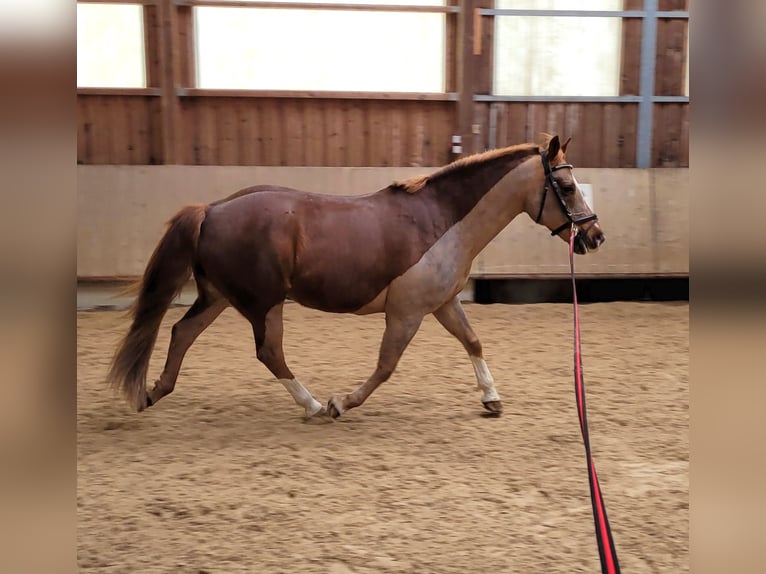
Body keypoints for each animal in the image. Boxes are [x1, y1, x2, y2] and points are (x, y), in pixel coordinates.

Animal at [106, 136, 608, 424]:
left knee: (181, 332)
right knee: (268, 352)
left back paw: (153, 392)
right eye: (566, 187)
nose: (594, 236)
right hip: (264, 303)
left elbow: (473, 341)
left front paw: (492, 399)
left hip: (219, 297)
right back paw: (312, 405)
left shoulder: (443, 303)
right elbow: (386, 366)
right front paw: (341, 403)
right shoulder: (406, 313)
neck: (443, 221)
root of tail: (211, 210)